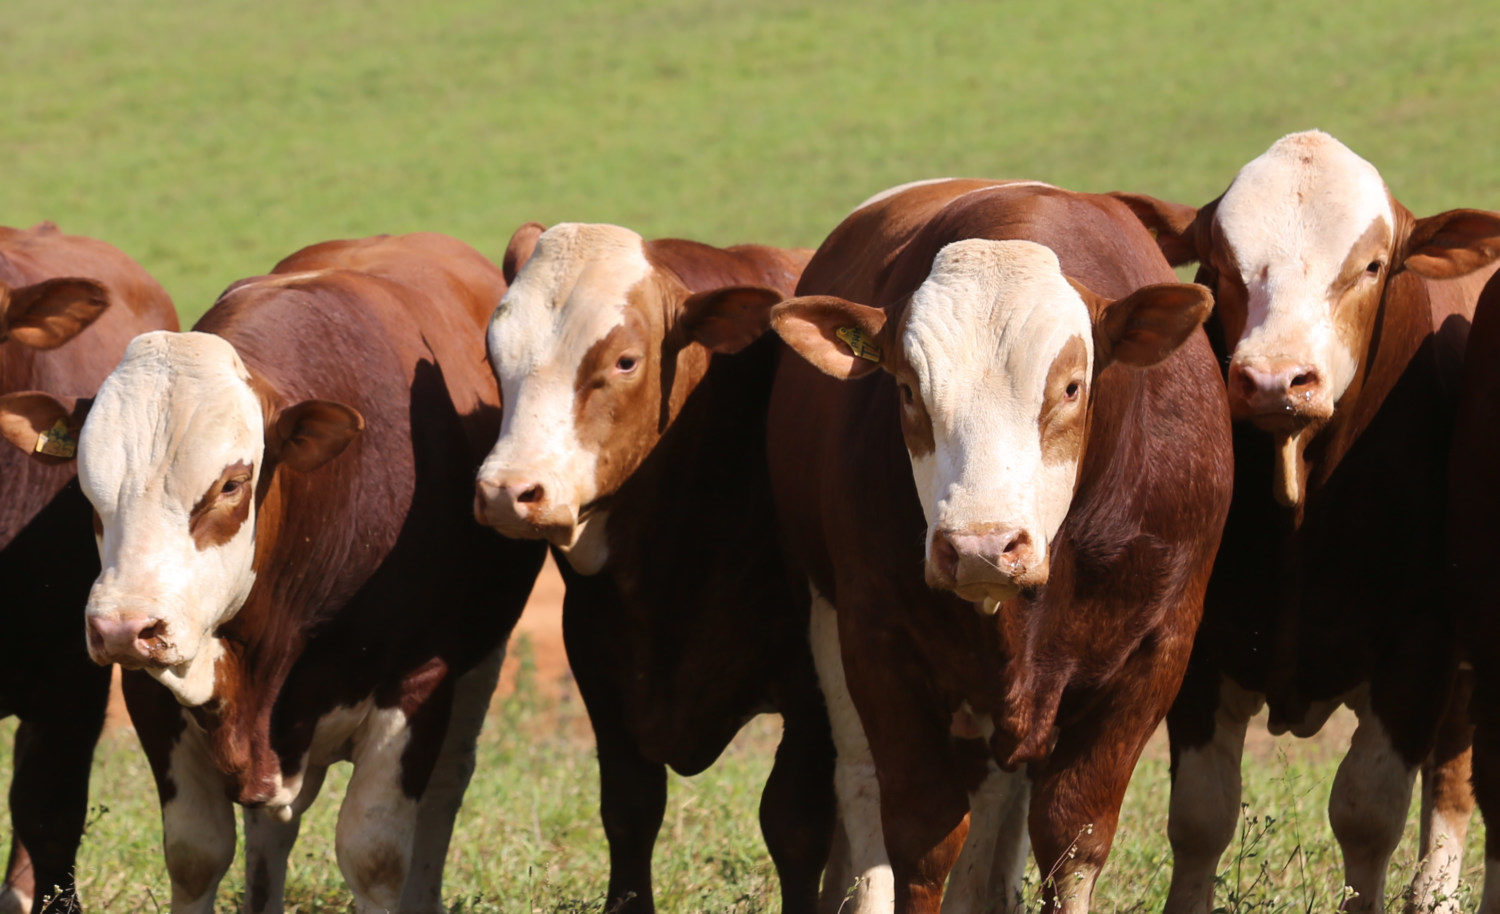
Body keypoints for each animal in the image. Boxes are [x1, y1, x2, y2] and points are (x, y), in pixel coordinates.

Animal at [474, 222, 840, 912]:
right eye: (493, 355)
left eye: (624, 361)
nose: (507, 492)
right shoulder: (598, 661)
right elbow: (630, 809)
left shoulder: (816, 688)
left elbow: (796, 825)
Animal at [768, 172, 1236, 912]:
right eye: (908, 390)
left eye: (1070, 387)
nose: (982, 548)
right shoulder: (874, 639)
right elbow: (921, 836)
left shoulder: (1156, 652)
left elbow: (1073, 836)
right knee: (864, 782)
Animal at [1116, 129, 1500, 912]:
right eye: (1220, 262)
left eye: (1372, 264)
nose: (1274, 379)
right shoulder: (1198, 645)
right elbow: (1200, 816)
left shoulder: (1420, 644)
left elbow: (1367, 813)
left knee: (1453, 776)